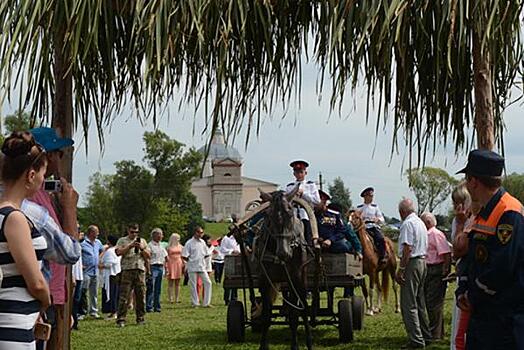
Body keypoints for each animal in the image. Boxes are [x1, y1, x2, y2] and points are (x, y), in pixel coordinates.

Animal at [256, 187, 314, 350]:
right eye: (269, 215)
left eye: (290, 213)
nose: (283, 253)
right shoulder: (265, 281)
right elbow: (266, 315)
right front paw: (263, 345)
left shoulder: (295, 279)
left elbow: (296, 314)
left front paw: (296, 345)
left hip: (301, 281)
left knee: (303, 309)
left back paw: (308, 341)